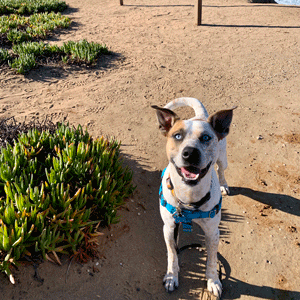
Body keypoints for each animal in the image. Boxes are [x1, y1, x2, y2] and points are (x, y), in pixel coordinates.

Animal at [151, 98, 236, 298]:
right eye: (177, 136)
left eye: (205, 138)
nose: (190, 152)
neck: (189, 197)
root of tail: (200, 116)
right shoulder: (169, 228)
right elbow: (172, 254)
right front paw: (172, 276)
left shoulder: (213, 232)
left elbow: (212, 259)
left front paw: (213, 280)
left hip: (223, 158)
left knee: (221, 170)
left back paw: (223, 184)